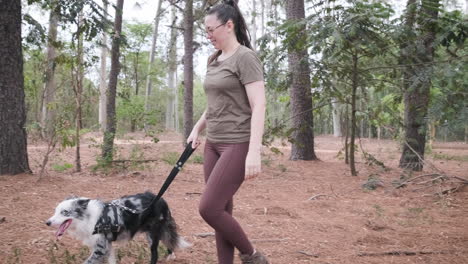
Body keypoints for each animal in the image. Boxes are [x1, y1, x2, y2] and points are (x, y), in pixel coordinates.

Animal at [45, 192, 188, 264]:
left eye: (65, 212)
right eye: (55, 211)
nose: (47, 222)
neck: (89, 218)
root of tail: (161, 199)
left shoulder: (100, 248)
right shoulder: (106, 245)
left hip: (153, 235)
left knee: (155, 254)